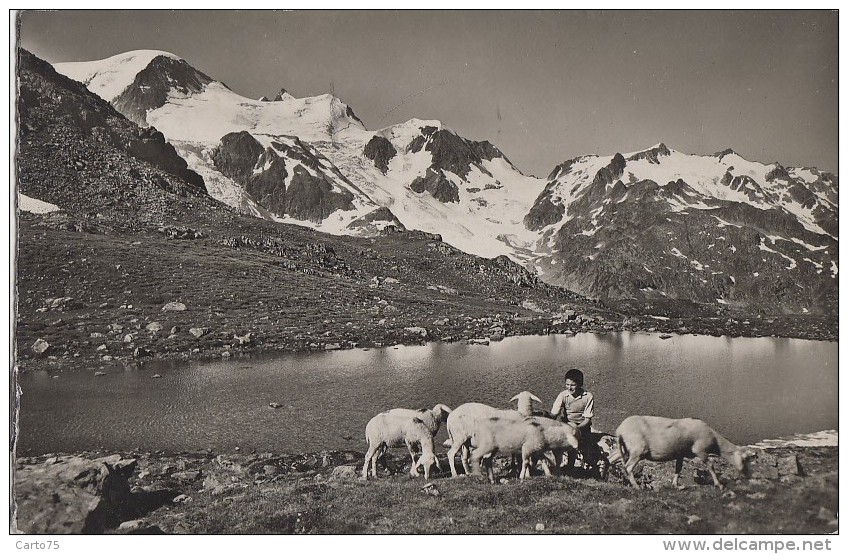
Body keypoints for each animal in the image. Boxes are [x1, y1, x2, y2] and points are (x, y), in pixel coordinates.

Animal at [612, 414, 752, 488]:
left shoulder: (681, 454)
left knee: (611, 459)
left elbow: (678, 469)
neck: (715, 441)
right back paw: (637, 487)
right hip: (637, 450)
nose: (749, 476)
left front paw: (675, 485)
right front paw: (719, 484)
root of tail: (620, 430)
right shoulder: (701, 450)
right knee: (628, 467)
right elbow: (711, 466)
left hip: (624, 449)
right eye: (745, 459)